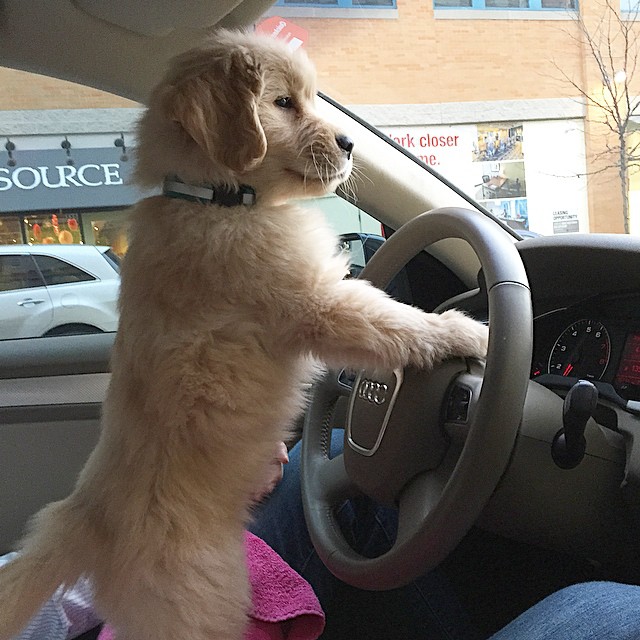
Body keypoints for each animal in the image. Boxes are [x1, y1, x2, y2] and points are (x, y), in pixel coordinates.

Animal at [0, 30, 484, 640]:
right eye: (283, 103)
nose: (351, 143)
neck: (215, 197)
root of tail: (83, 517)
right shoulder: (319, 305)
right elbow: (394, 322)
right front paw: (466, 332)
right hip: (200, 608)